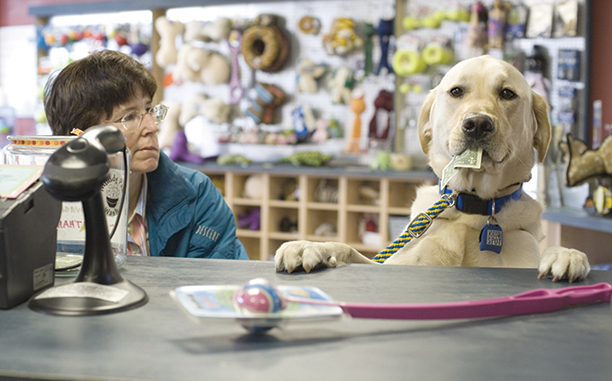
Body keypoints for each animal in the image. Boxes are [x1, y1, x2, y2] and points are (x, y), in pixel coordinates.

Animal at [274, 55, 592, 280]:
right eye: (456, 91)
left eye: (507, 93)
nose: (478, 123)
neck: (470, 209)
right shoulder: (395, 263)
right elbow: (350, 249)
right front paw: (311, 246)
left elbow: (553, 251)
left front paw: (566, 254)